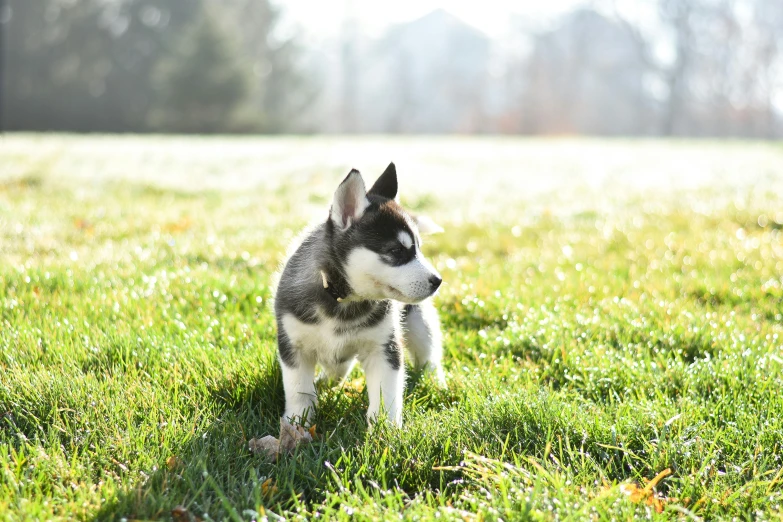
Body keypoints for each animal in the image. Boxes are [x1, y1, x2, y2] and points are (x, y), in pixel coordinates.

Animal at [276, 164, 444, 426]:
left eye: (418, 249)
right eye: (396, 251)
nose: (437, 281)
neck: (341, 300)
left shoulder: (384, 347)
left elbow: (386, 393)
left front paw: (386, 428)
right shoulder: (293, 345)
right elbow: (298, 390)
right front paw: (297, 422)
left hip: (417, 321)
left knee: (429, 353)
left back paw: (436, 382)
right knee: (337, 366)